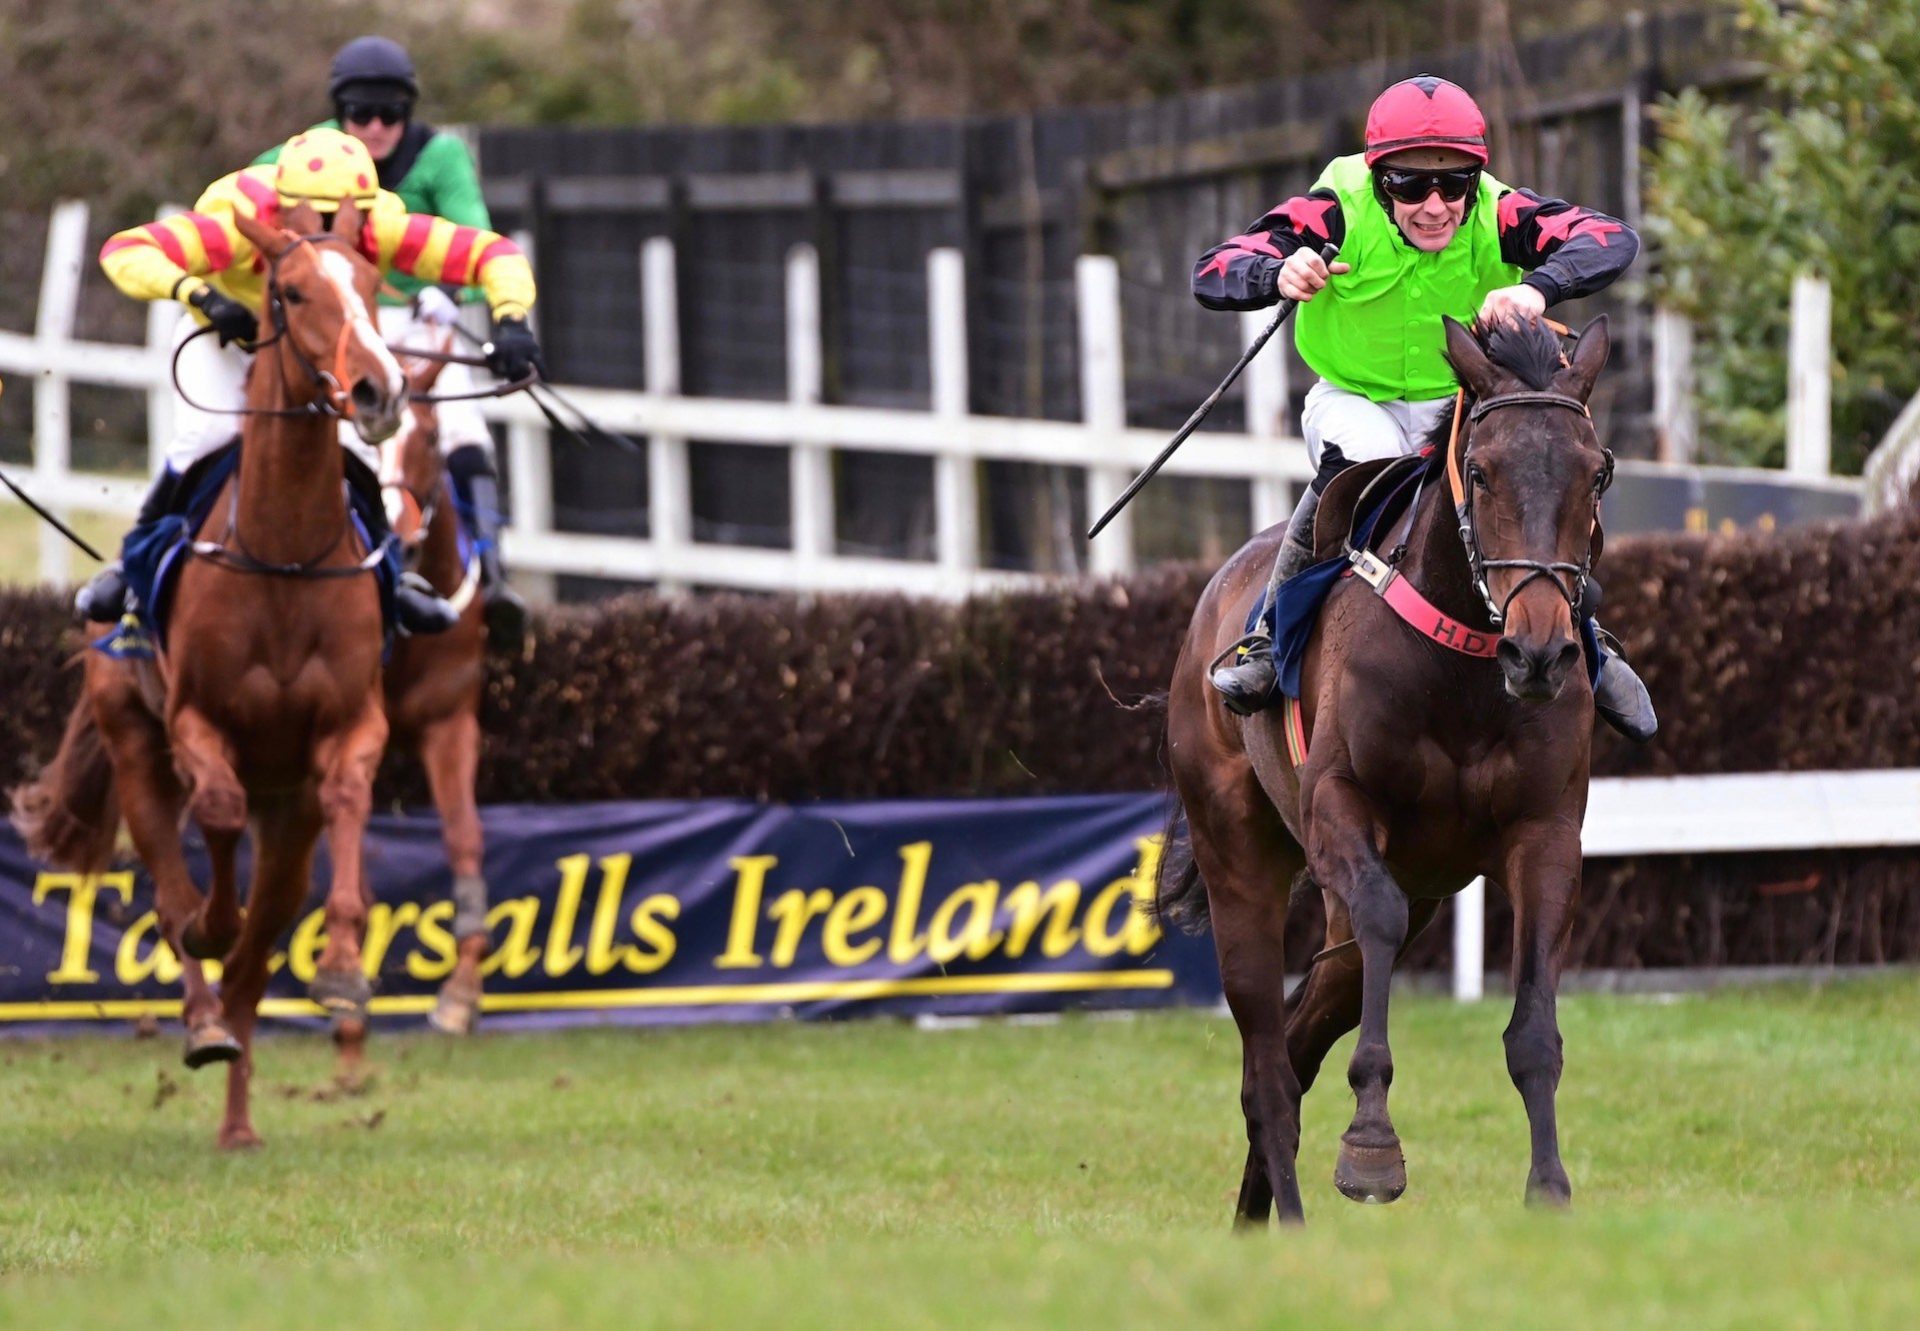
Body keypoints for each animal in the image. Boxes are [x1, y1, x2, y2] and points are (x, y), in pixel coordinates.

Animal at [13, 205, 408, 1144]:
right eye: (290, 291)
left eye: (372, 285)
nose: (378, 390)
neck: (284, 555)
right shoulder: (196, 721)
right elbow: (213, 830)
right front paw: (207, 926)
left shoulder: (351, 724)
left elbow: (347, 794)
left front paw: (344, 963)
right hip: (133, 744)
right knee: (173, 889)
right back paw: (201, 1018)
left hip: (288, 814)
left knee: (258, 955)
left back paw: (237, 1118)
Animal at [1152, 314, 1620, 1221]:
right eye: (1482, 469)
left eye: (1595, 473)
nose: (1540, 652)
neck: (1465, 667)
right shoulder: (1342, 808)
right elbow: (1378, 916)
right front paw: (1371, 1145)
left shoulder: (1546, 833)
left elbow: (1533, 1029)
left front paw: (1549, 1188)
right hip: (1240, 858)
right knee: (1268, 1062)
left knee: (1298, 1042)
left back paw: (1257, 1215)